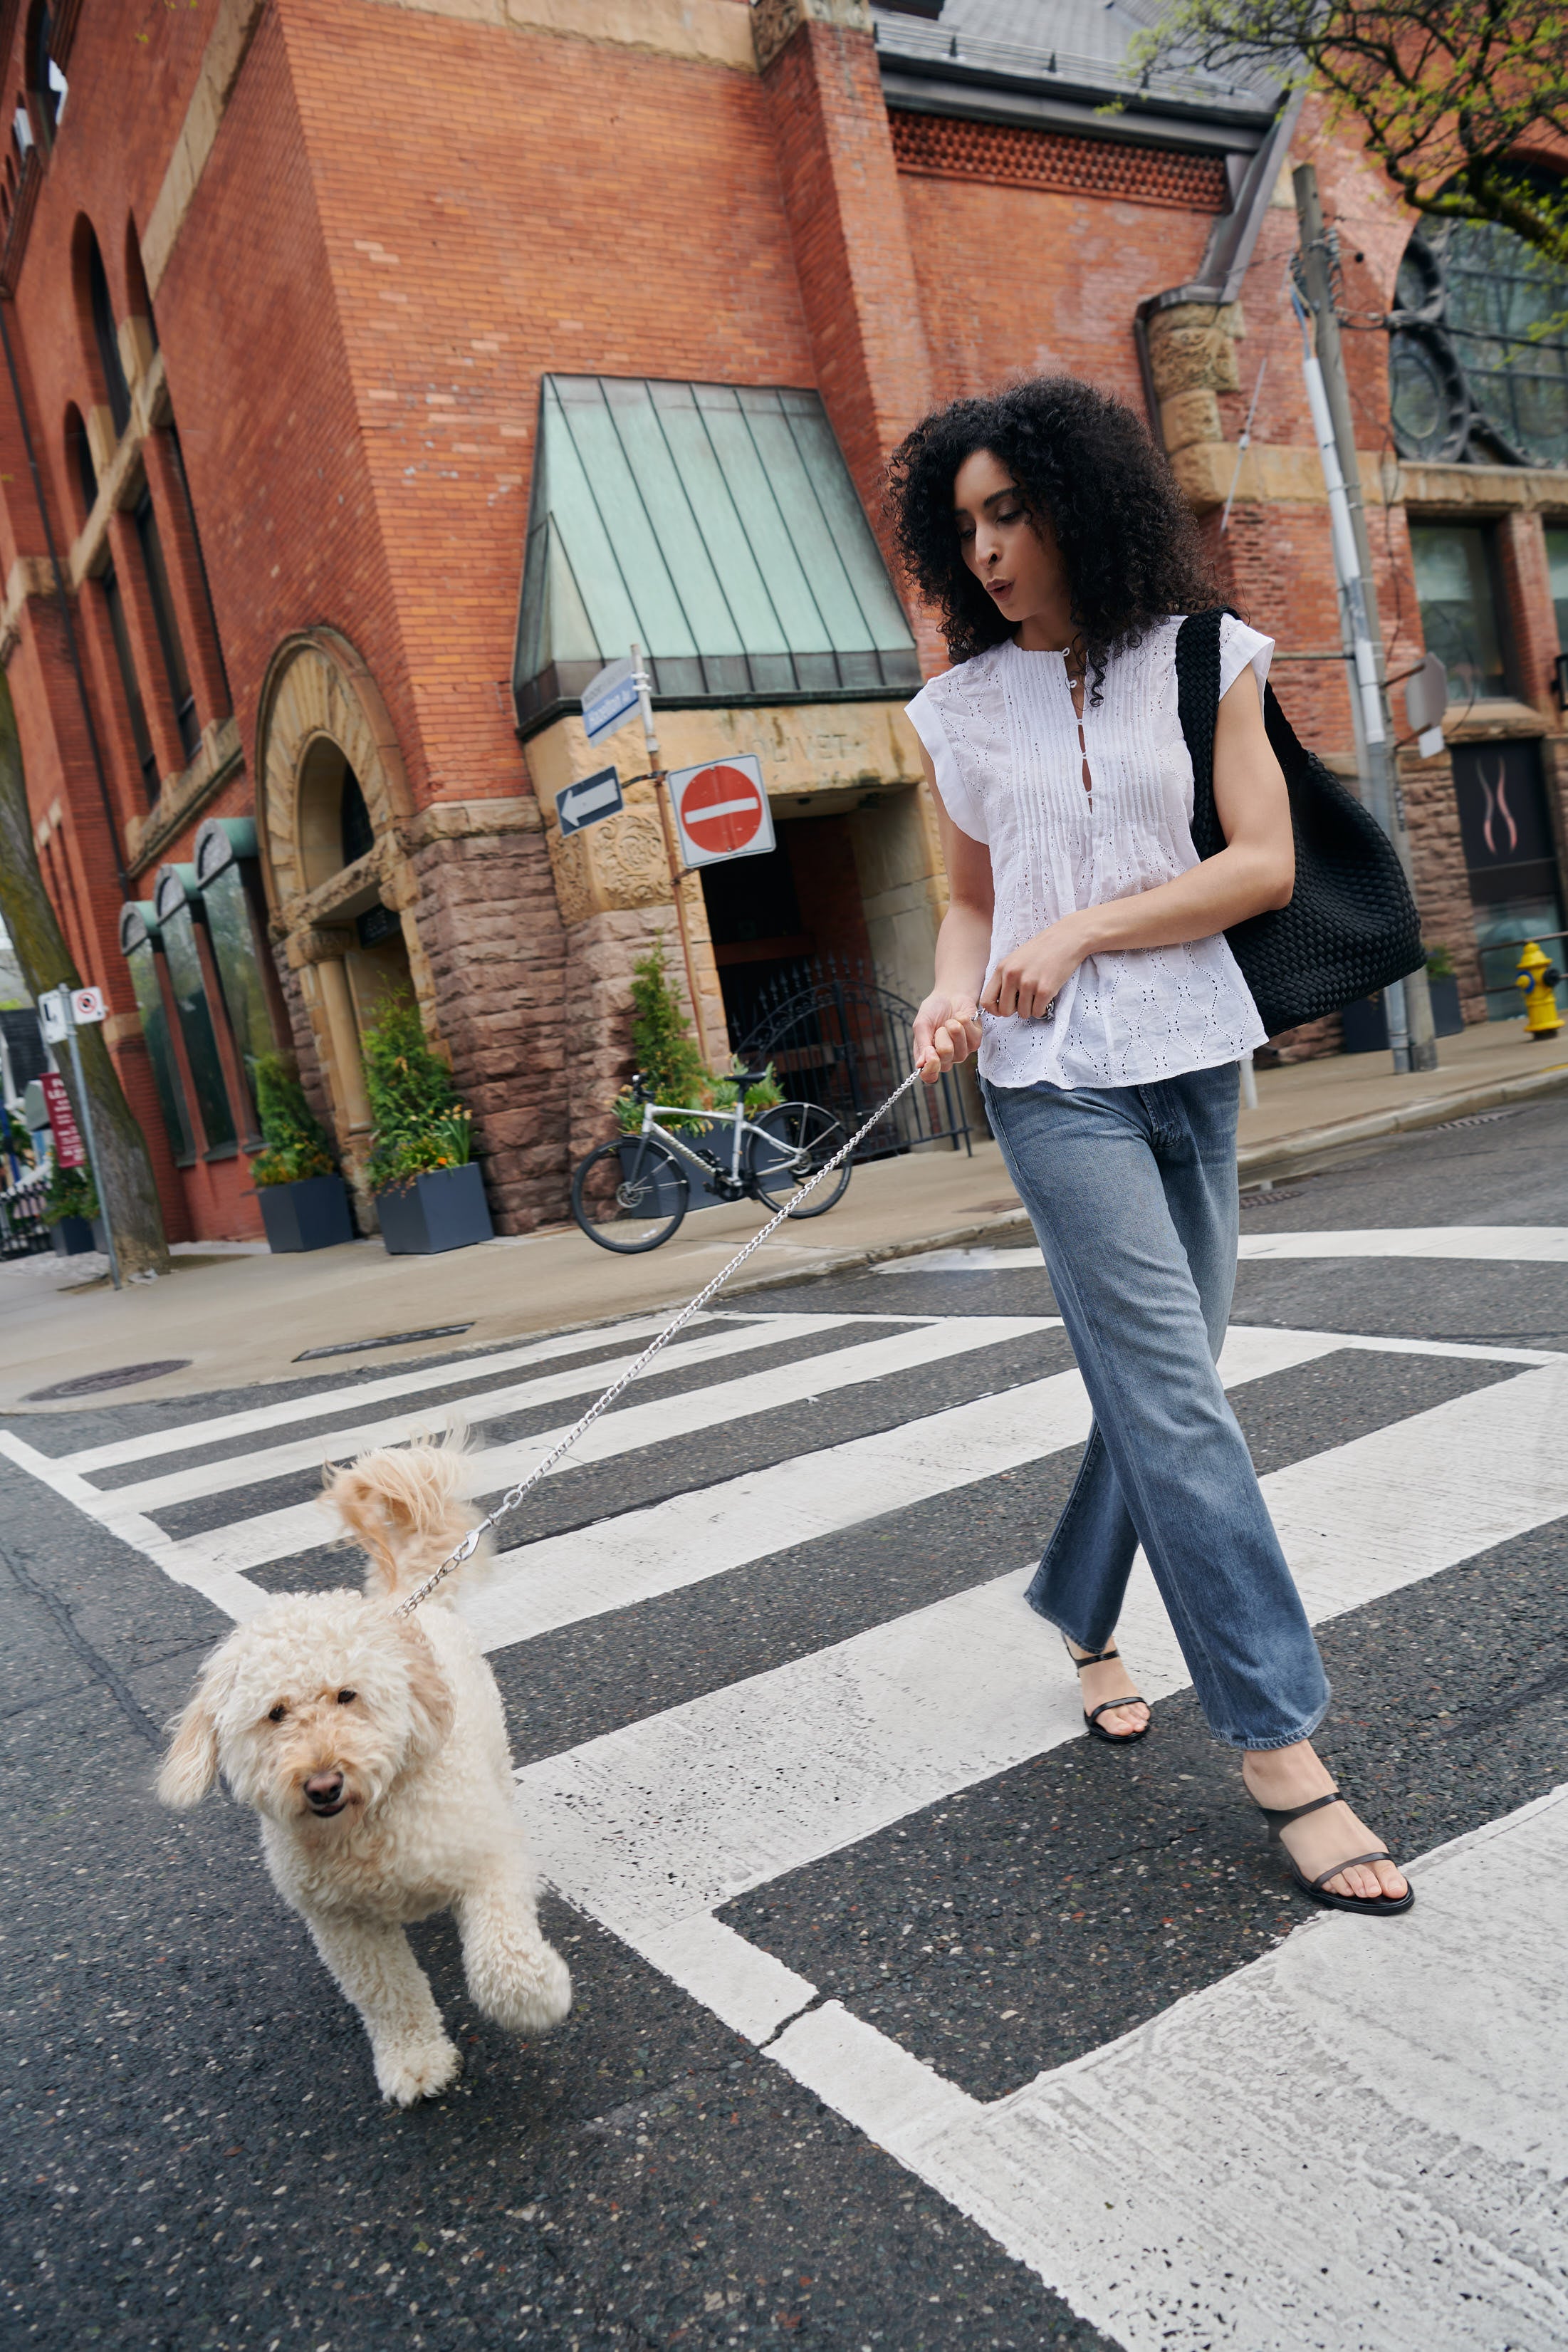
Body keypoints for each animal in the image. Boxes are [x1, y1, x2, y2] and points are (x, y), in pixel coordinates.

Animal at [157, 1439, 571, 2107]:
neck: (369, 1826)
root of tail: (407, 1600)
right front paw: (415, 2062)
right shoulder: (343, 1925)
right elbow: (388, 1995)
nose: (323, 1783)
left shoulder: (485, 1858)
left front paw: (537, 1998)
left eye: (347, 1696)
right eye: (276, 1713)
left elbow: (501, 1952)